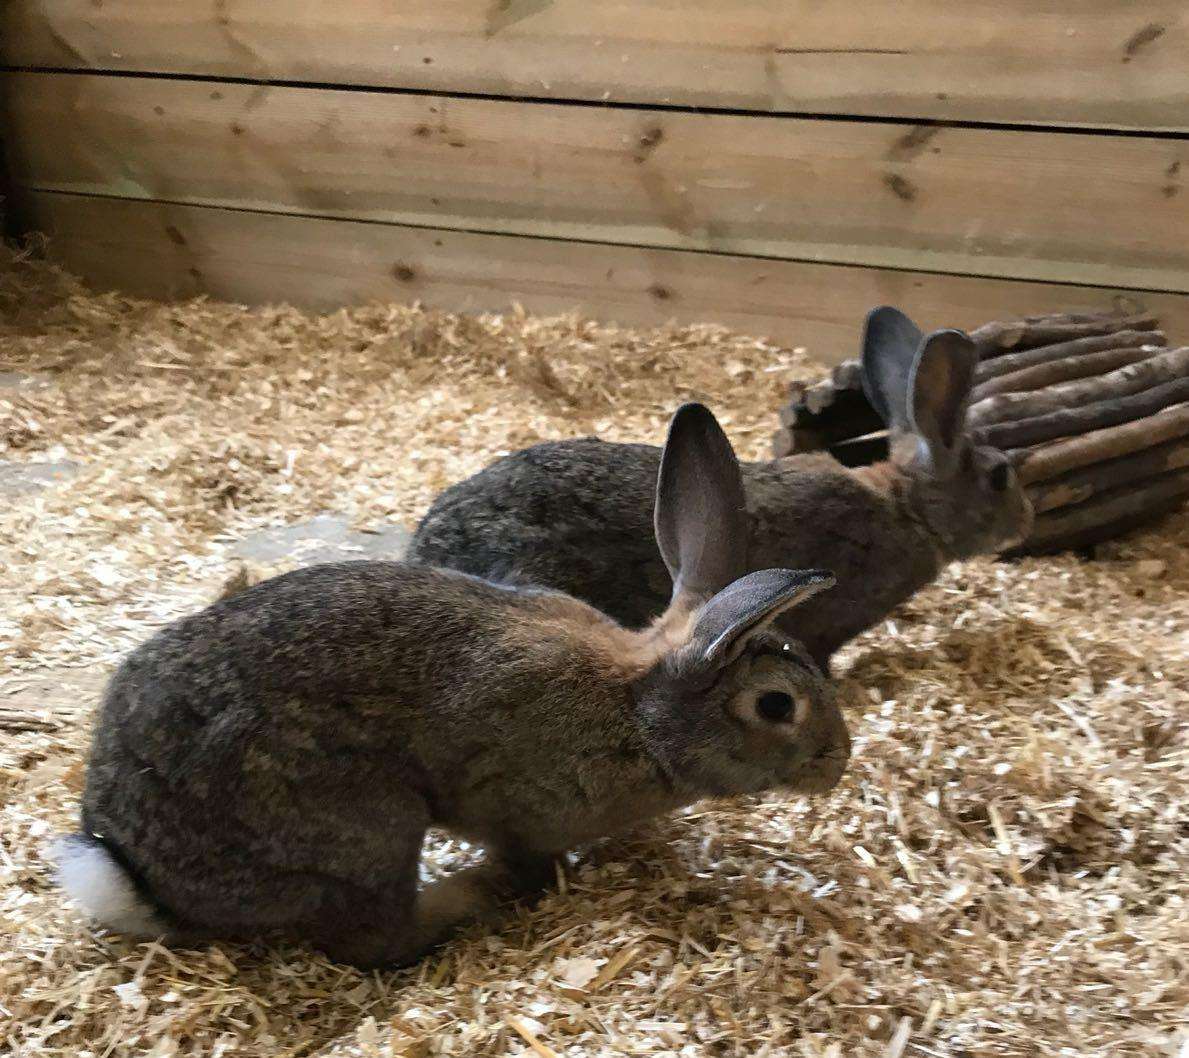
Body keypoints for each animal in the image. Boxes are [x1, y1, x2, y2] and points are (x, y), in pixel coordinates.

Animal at [55, 399, 851, 970]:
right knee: (375, 943)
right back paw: (464, 900)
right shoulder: (510, 804)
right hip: (369, 825)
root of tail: (138, 870)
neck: (639, 710)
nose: (838, 763)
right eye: (775, 704)